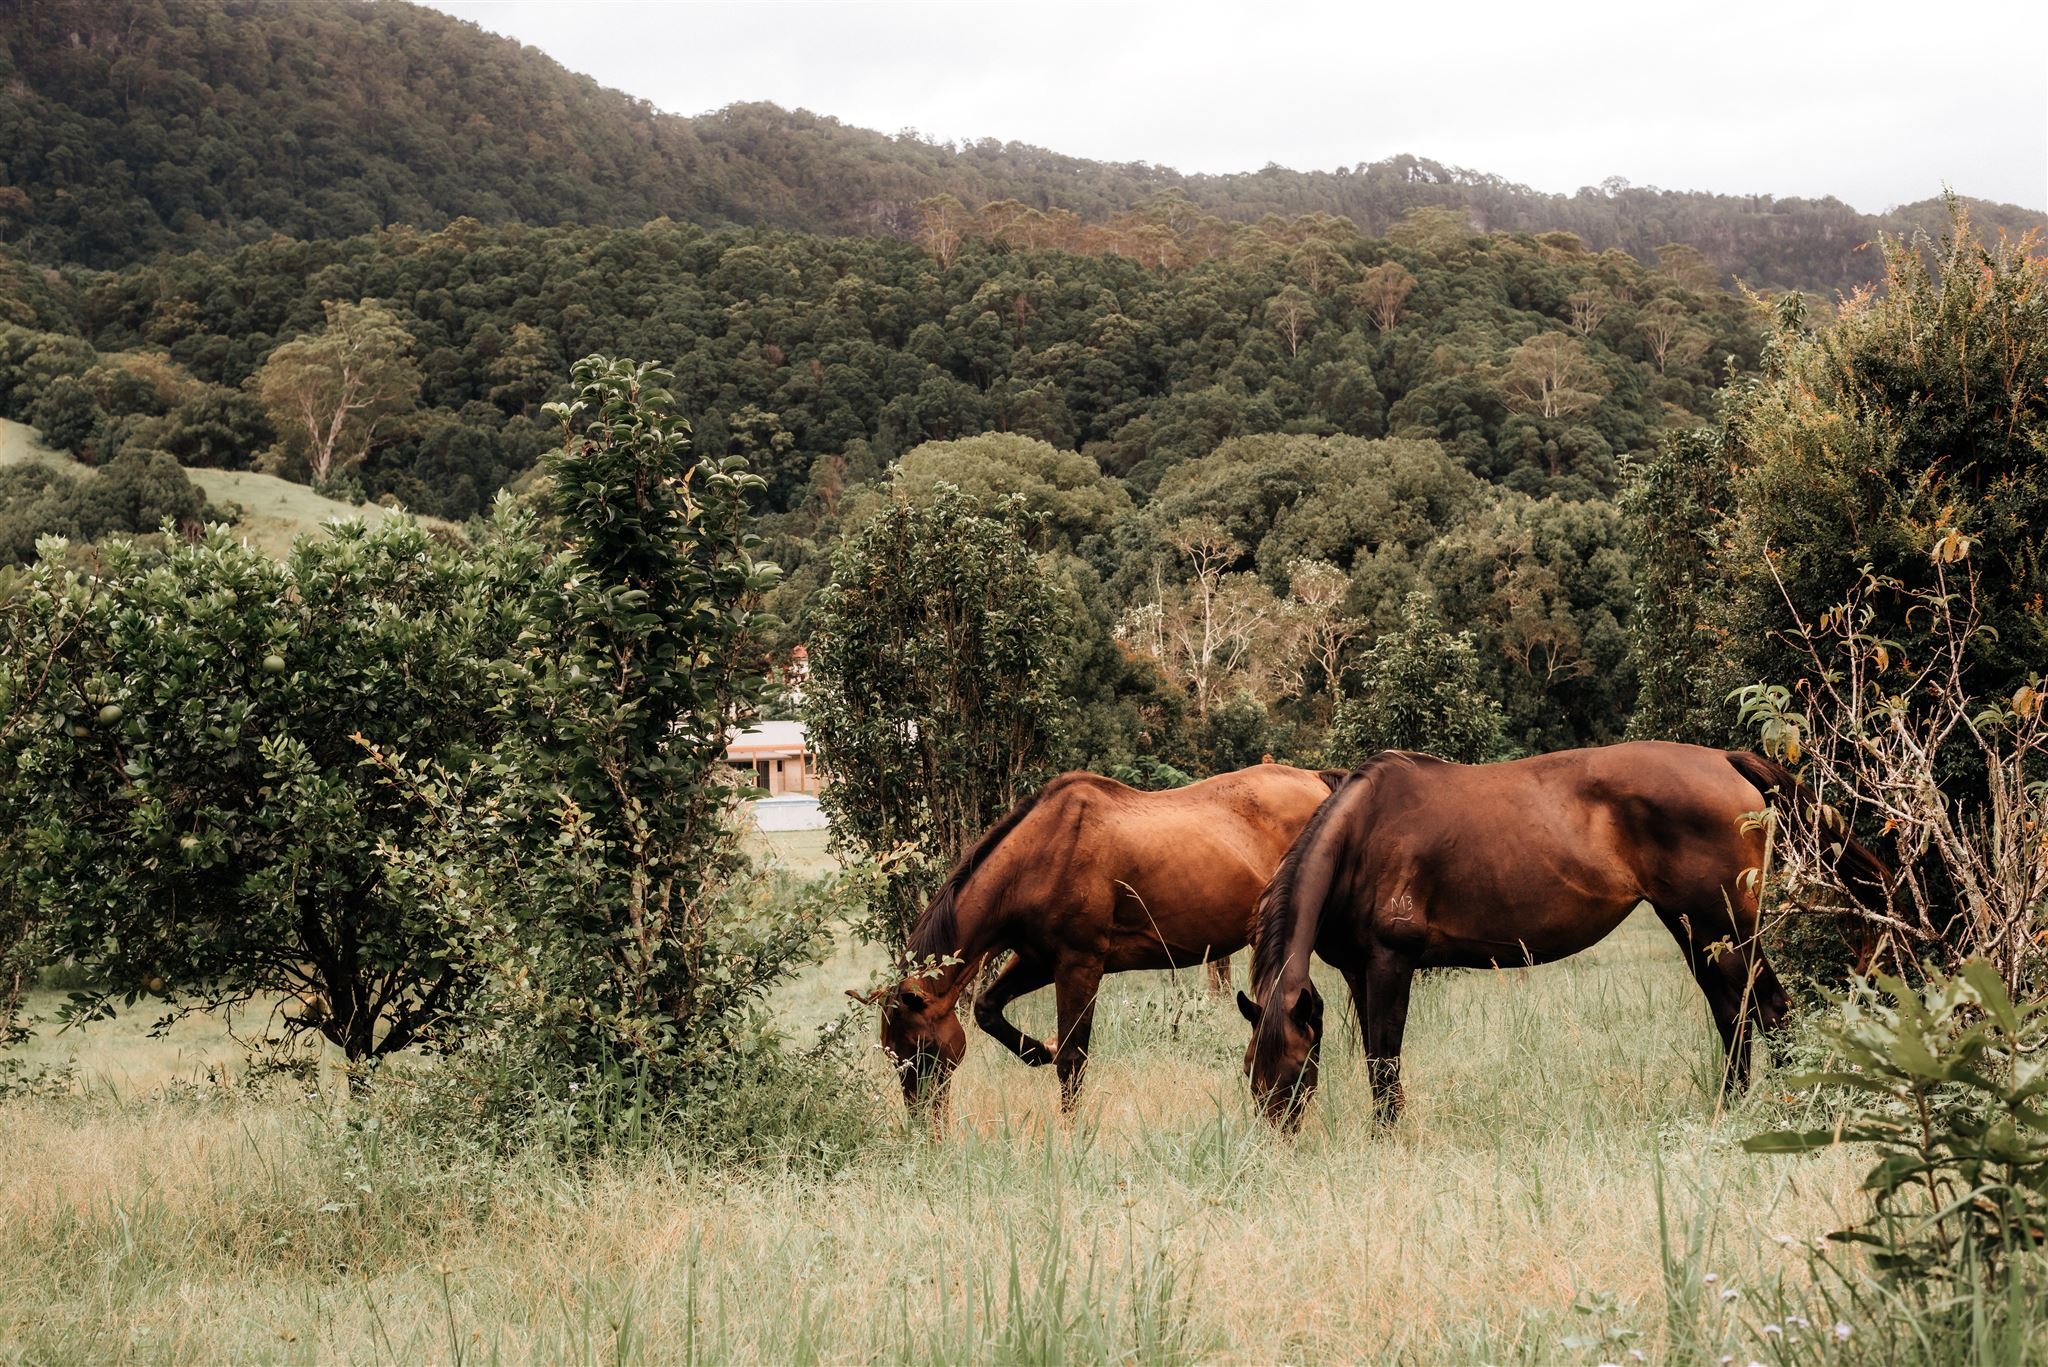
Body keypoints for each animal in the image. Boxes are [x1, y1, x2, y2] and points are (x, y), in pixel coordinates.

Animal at [856, 766, 1351, 1114]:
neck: (1042, 854)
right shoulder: (1036, 960)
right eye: (893, 1053)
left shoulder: (1079, 966)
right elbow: (986, 1009)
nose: (925, 1124)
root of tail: (1320, 782)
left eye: (921, 1052)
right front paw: (1038, 1050)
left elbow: (1072, 1060)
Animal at [1228, 750, 1884, 1131]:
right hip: (1695, 930)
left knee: (1769, 1008)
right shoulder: (1358, 972)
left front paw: (1387, 1137)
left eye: (1293, 1069)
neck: (1360, 836)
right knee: (1734, 1014)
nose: (1275, 1141)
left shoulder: (1392, 962)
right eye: (1249, 1068)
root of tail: (1727, 763)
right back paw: (1731, 1108)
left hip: (1723, 926)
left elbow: (1384, 1059)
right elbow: (1374, 1054)